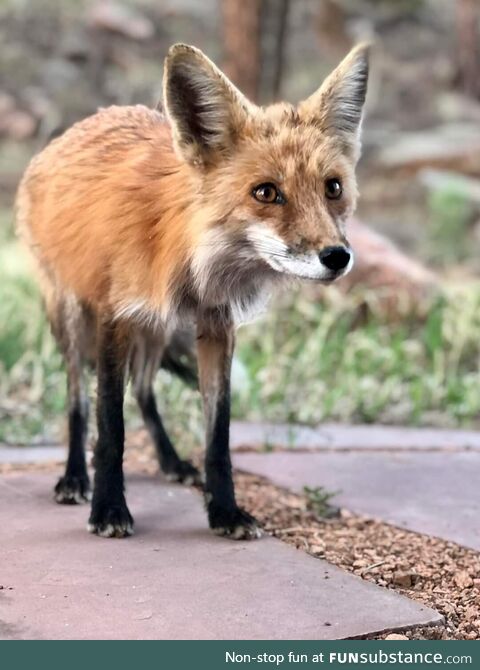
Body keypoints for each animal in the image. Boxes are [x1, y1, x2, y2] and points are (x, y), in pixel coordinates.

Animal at [15, 43, 368, 540]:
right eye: (266, 192)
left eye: (332, 188)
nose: (337, 256)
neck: (189, 256)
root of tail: (75, 127)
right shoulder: (115, 317)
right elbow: (109, 425)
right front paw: (109, 508)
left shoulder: (216, 325)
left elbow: (217, 436)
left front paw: (225, 511)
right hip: (73, 317)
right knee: (77, 400)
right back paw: (75, 478)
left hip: (157, 328)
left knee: (144, 389)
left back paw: (170, 461)